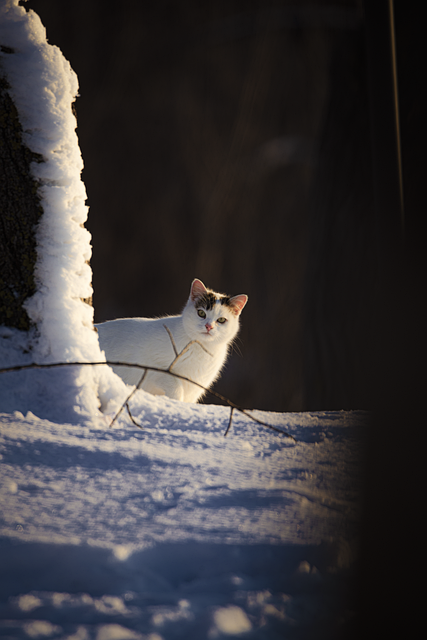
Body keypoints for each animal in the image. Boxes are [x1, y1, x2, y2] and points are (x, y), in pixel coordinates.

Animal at [96, 278, 247, 402]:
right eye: (201, 313)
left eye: (221, 320)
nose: (209, 326)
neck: (201, 349)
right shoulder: (155, 368)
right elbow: (176, 388)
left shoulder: (194, 388)